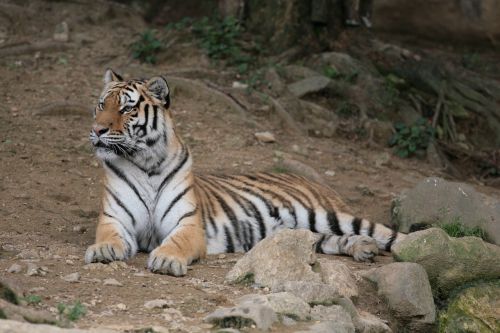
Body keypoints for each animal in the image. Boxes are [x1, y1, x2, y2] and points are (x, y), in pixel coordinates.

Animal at [86, 69, 406, 274]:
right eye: (101, 105)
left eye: (127, 109)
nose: (97, 130)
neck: (146, 163)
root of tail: (315, 182)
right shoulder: (114, 218)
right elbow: (109, 236)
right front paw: (102, 250)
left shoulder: (188, 224)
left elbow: (176, 241)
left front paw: (166, 260)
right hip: (302, 230)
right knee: (323, 240)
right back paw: (364, 248)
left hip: (326, 214)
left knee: (385, 233)